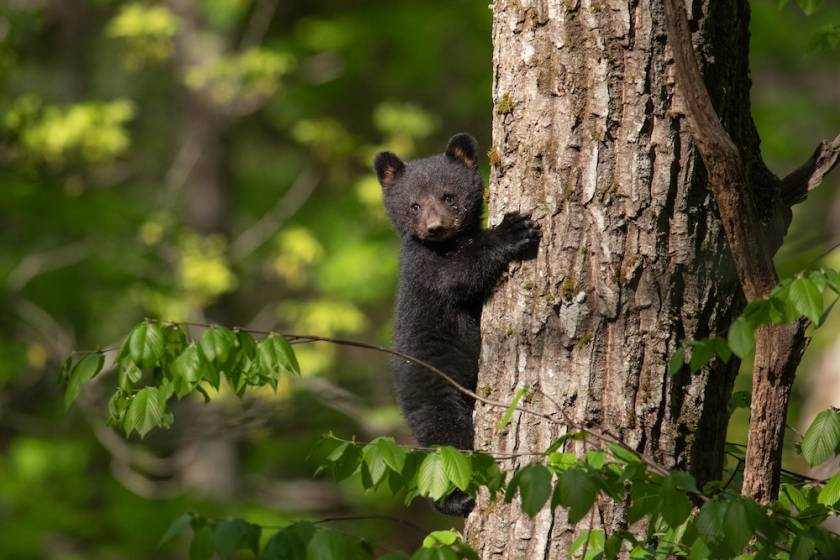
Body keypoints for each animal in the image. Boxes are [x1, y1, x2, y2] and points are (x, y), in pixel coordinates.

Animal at [373, 133, 541, 517]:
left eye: (448, 195)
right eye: (414, 205)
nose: (435, 227)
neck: (450, 243)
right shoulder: (422, 265)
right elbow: (457, 276)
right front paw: (511, 230)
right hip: (433, 388)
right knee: (444, 439)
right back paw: (455, 499)